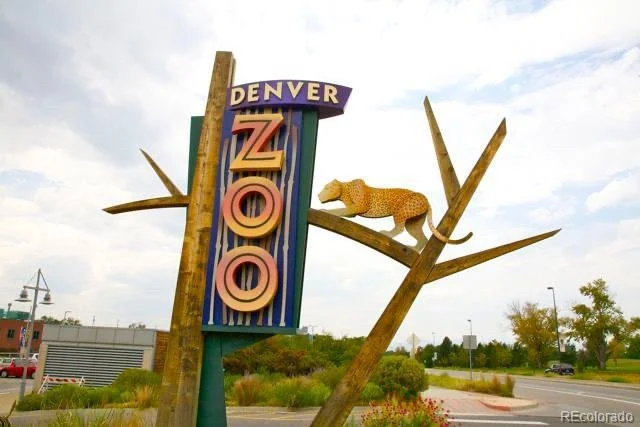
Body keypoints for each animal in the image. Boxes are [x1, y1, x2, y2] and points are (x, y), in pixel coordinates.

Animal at [317, 178, 472, 250]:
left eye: (327, 188)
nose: (318, 195)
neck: (344, 191)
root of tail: (426, 199)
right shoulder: (353, 209)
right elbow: (345, 212)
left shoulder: (360, 205)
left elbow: (340, 210)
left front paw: (325, 211)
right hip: (413, 222)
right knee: (421, 238)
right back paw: (414, 249)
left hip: (401, 212)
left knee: (399, 228)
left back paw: (387, 234)